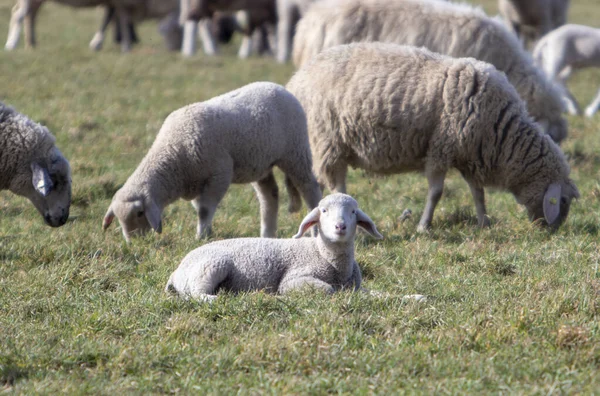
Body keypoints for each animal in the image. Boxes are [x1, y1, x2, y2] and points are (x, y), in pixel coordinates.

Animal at [102, 81, 324, 241]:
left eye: (140, 213)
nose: (134, 242)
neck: (173, 155)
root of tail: (280, 87)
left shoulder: (219, 173)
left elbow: (204, 210)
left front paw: (201, 237)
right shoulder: (196, 181)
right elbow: (200, 209)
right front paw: (206, 234)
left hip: (296, 152)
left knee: (309, 187)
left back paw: (314, 230)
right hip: (260, 163)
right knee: (270, 196)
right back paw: (267, 235)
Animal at [162, 193, 382, 302]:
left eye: (353, 212)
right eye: (324, 211)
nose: (340, 226)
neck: (323, 254)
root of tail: (176, 272)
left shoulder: (356, 285)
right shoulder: (293, 280)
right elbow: (328, 290)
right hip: (209, 267)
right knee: (195, 294)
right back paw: (219, 299)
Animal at [286, 44, 580, 232]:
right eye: (562, 201)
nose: (552, 231)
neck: (500, 131)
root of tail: (296, 79)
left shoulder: (469, 155)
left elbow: (478, 193)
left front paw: (484, 222)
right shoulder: (442, 147)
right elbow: (437, 193)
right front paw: (423, 227)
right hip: (328, 141)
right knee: (335, 185)